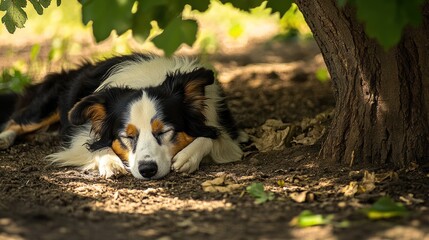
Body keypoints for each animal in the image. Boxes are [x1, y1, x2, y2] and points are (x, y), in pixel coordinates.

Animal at [0, 53, 246, 179]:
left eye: (165, 131)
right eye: (127, 136)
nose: (147, 171)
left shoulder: (224, 126)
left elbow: (212, 136)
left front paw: (188, 156)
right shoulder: (81, 133)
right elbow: (95, 145)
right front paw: (110, 162)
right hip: (46, 106)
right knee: (18, 119)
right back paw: (4, 138)